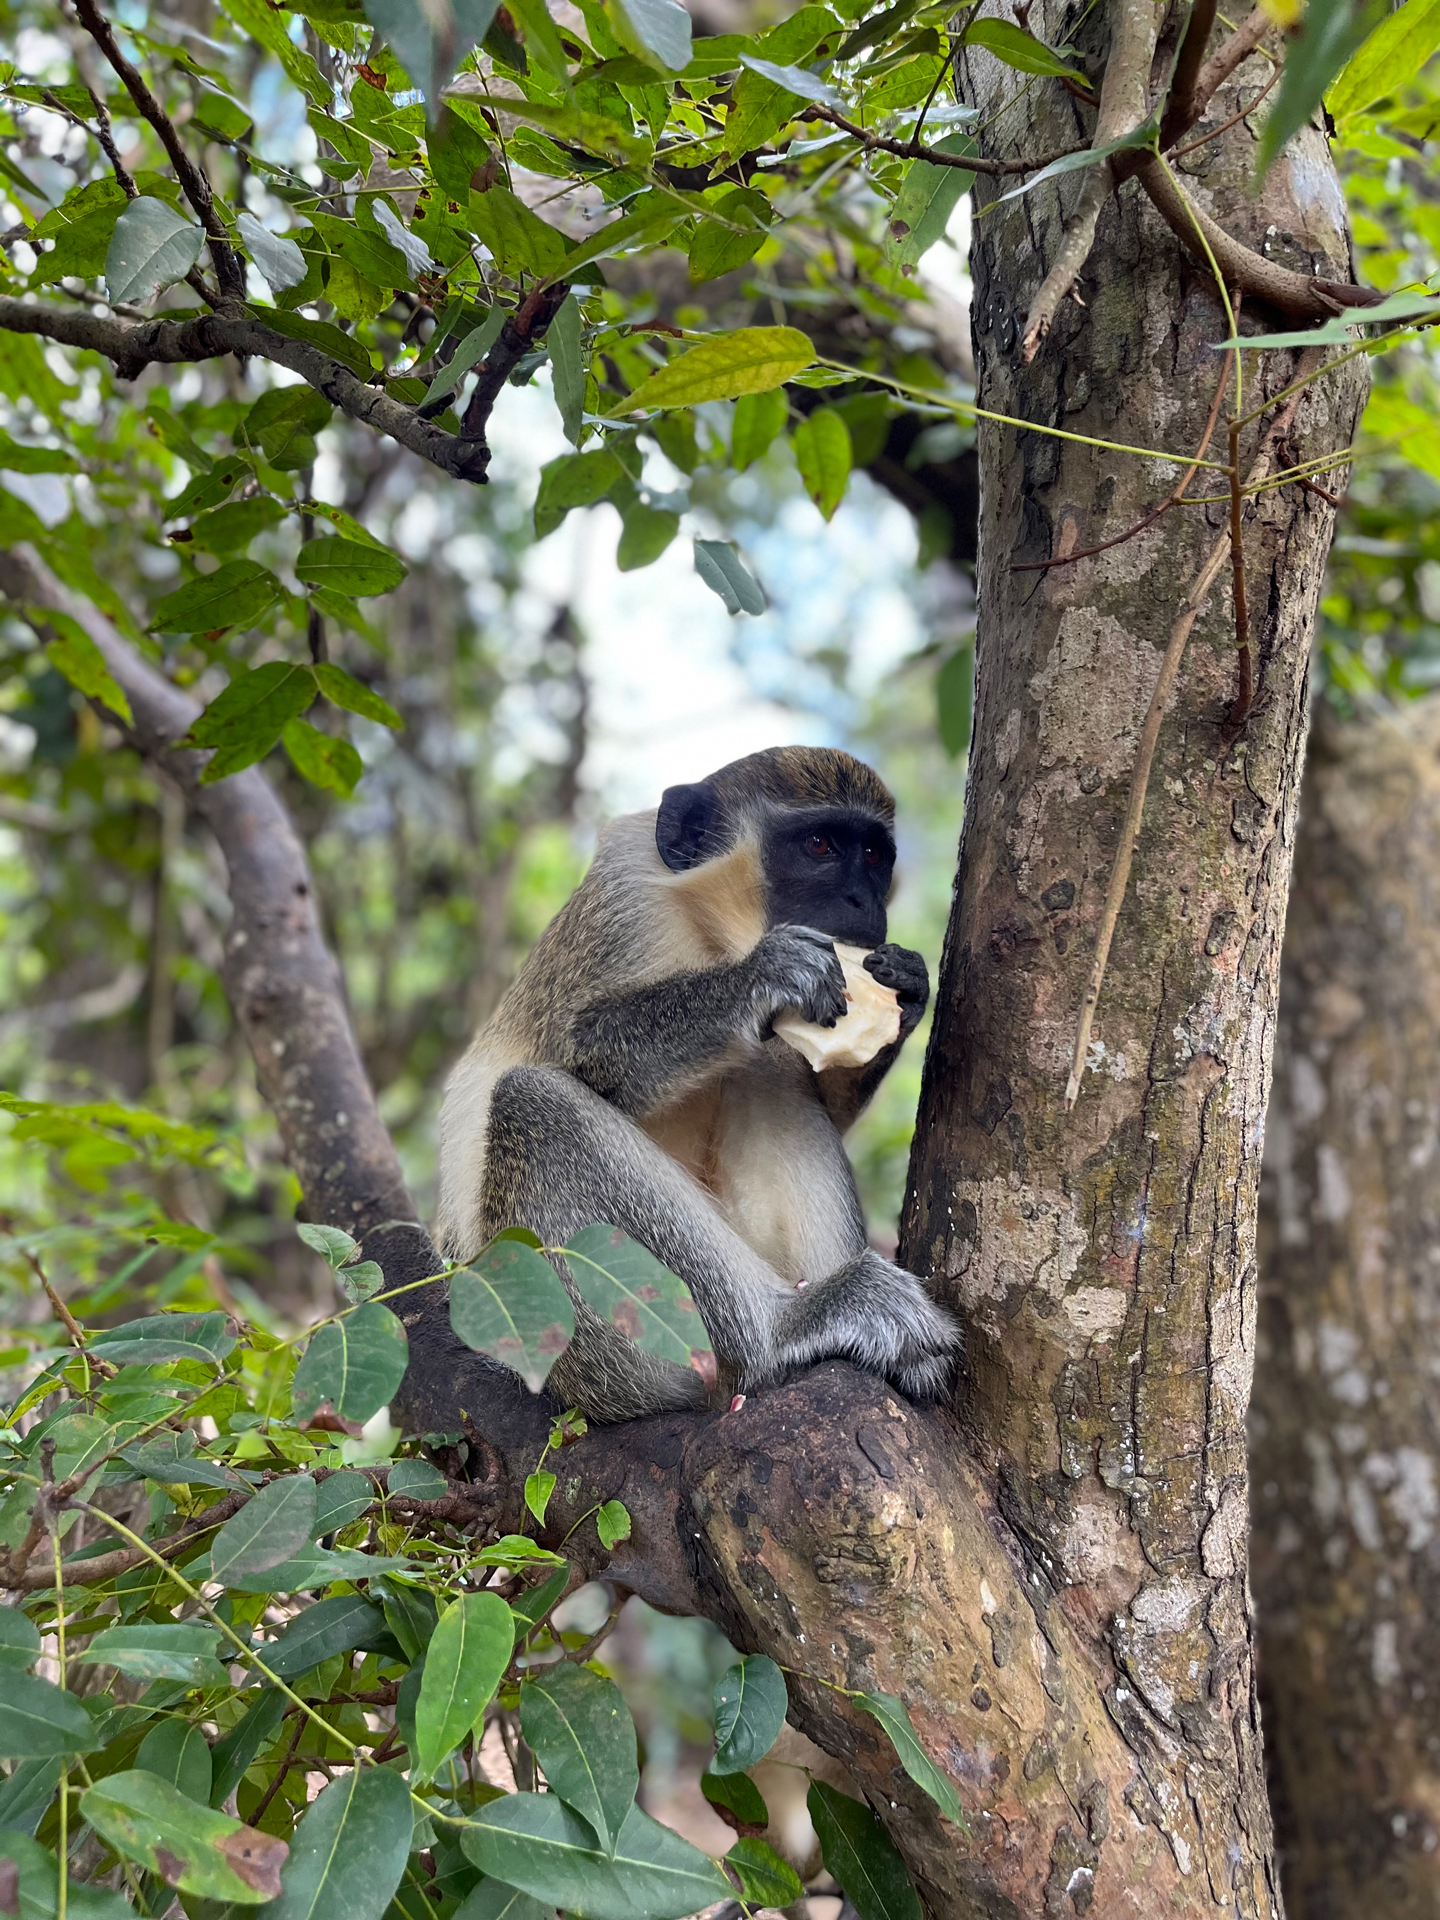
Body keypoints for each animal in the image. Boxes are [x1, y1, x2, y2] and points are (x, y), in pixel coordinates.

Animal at [435, 745, 960, 1422]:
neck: (713, 936)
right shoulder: (624, 903)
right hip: (592, 1352)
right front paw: (760, 980)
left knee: (770, 1075)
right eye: (819, 845)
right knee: (533, 1102)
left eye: (873, 855)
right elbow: (577, 1047)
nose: (862, 903)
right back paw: (788, 1326)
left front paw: (910, 986)